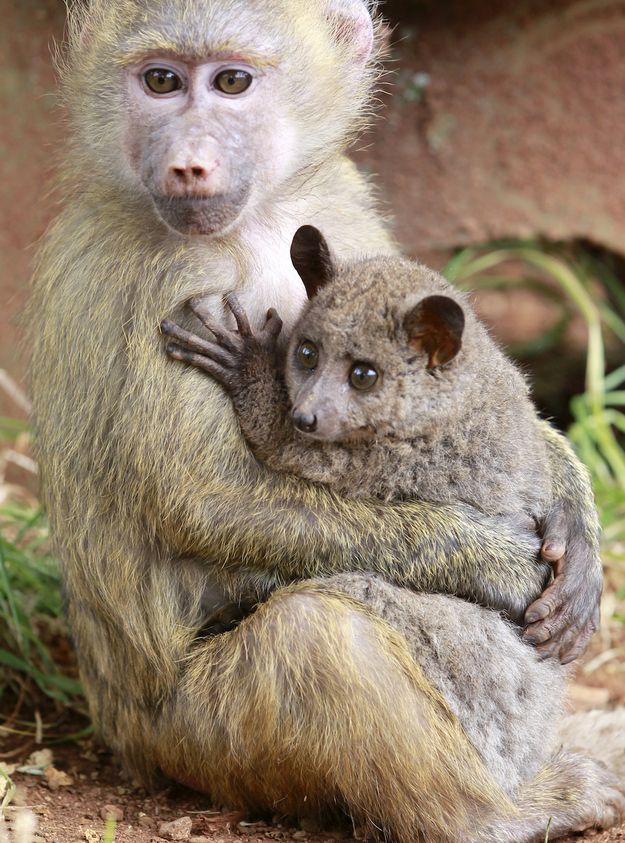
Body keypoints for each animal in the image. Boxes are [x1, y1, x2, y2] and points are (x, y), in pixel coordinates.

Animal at [26, 0, 608, 840]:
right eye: (161, 81)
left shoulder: (337, 201)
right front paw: (500, 564)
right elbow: (210, 499)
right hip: (201, 737)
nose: (187, 165)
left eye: (231, 82)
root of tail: (127, 738)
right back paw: (499, 813)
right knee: (318, 634)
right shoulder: (173, 277)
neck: (258, 220)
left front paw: (576, 533)